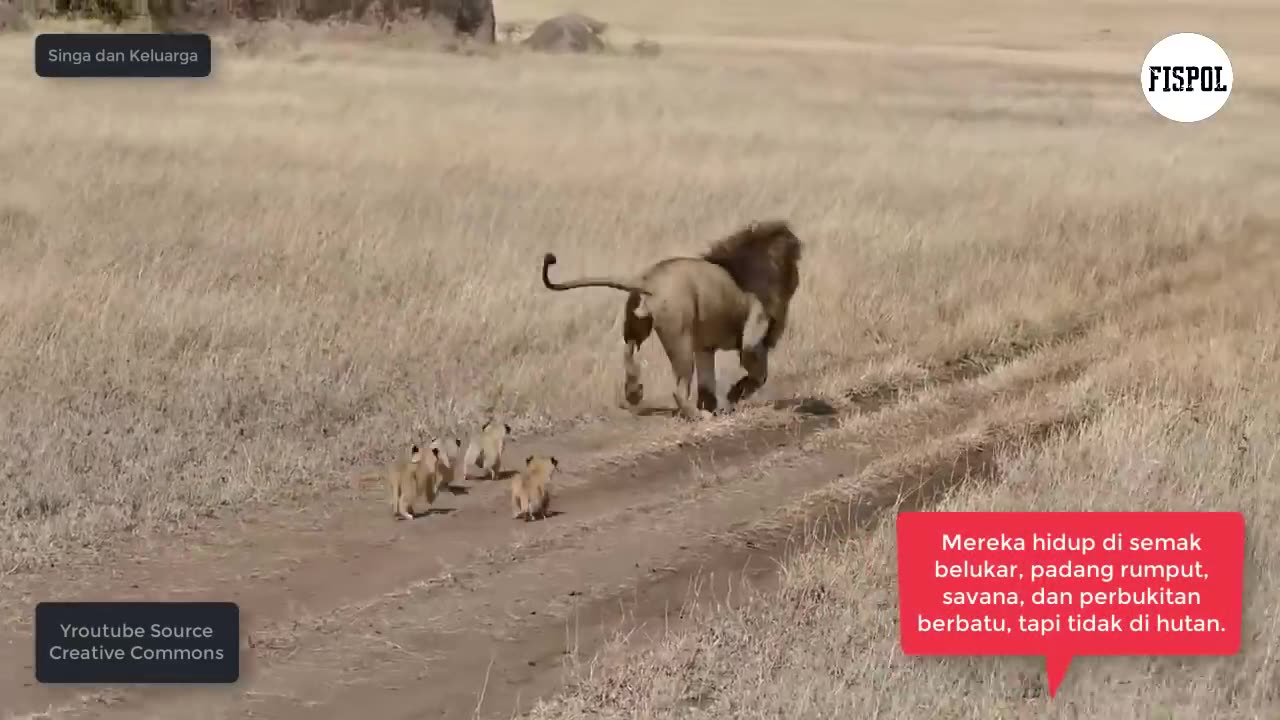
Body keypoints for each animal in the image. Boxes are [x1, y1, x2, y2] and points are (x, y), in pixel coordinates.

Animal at [537, 221, 798, 417]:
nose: (796, 280)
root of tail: (649, 280)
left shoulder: (705, 347)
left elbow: (708, 381)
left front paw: (713, 405)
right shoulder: (754, 339)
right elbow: (759, 375)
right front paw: (731, 396)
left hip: (637, 323)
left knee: (628, 349)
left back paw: (634, 390)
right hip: (679, 337)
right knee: (678, 389)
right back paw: (696, 415)